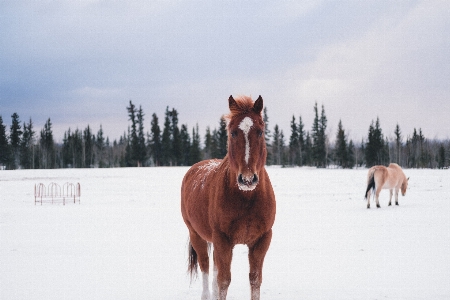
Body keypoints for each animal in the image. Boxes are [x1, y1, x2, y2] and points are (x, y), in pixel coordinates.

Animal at [181, 95, 276, 298]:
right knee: (206, 266)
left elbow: (255, 280)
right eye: (232, 133)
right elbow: (224, 281)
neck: (247, 199)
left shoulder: (262, 240)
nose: (247, 179)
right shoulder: (223, 240)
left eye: (260, 132)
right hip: (197, 235)